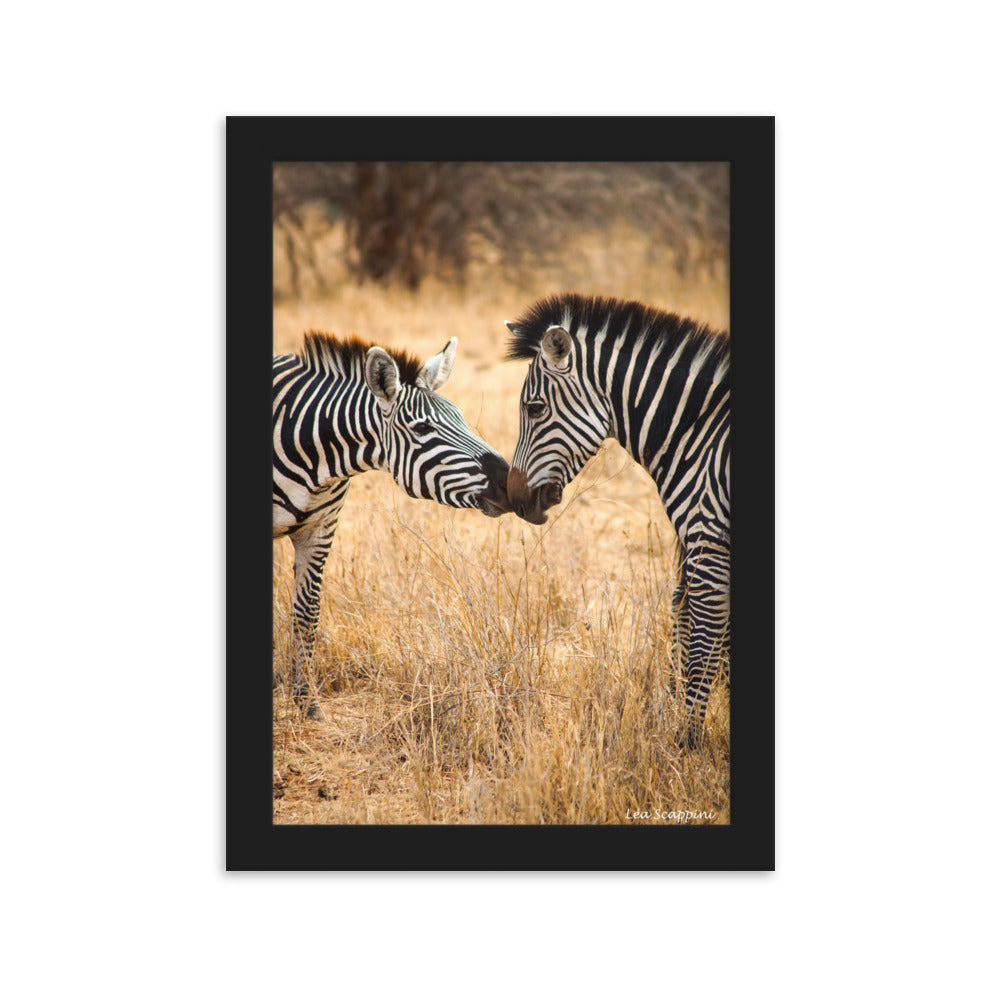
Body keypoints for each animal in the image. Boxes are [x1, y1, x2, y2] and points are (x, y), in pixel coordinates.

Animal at [274, 332, 512, 716]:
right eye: (423, 428)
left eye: (461, 417)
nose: (510, 481)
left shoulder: (321, 529)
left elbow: (307, 613)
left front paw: (307, 702)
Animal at [508, 292, 728, 748]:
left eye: (534, 408)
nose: (515, 499)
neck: (699, 434)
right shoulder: (696, 544)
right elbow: (686, 626)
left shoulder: (710, 540)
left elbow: (703, 647)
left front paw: (687, 745)